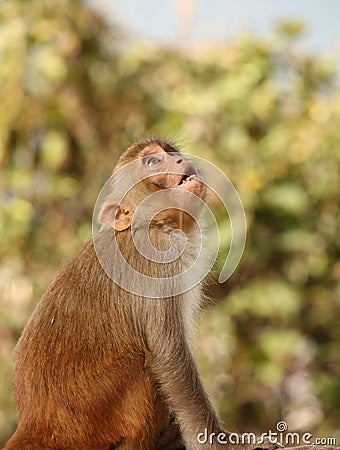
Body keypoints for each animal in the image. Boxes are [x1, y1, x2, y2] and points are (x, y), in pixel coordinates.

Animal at [4, 137, 274, 450]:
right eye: (153, 162)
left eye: (170, 153)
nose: (180, 160)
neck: (149, 224)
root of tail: (37, 423)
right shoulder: (160, 258)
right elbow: (168, 353)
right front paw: (224, 442)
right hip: (98, 420)